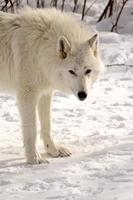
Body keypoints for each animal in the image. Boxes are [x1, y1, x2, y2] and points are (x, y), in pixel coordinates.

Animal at [0, 7, 104, 164]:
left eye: (88, 71)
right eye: (72, 71)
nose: (82, 95)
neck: (41, 50)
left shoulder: (45, 93)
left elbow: (46, 126)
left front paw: (53, 151)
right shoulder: (27, 95)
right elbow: (31, 130)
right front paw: (34, 158)